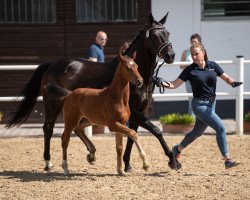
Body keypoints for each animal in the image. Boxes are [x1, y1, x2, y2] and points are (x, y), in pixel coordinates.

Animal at [44, 47, 148, 175]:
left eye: (137, 66)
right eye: (128, 67)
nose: (140, 81)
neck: (116, 97)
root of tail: (70, 94)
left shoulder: (121, 123)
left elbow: (119, 147)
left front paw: (120, 171)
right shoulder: (113, 125)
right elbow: (133, 133)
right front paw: (145, 164)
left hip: (89, 120)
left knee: (78, 128)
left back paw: (91, 155)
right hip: (70, 120)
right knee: (65, 139)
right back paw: (65, 168)